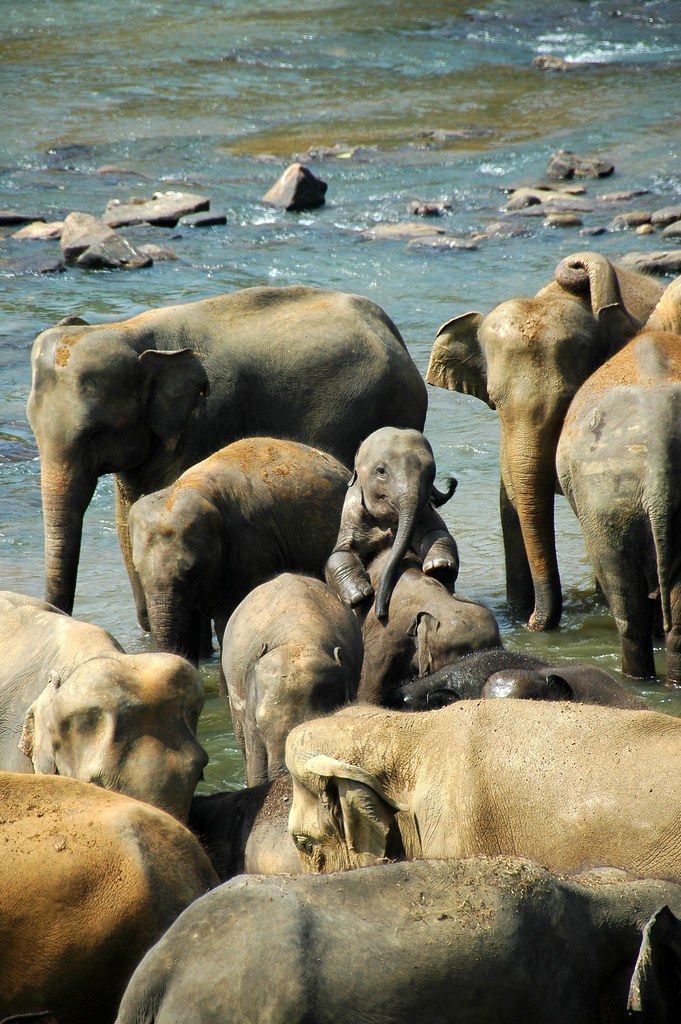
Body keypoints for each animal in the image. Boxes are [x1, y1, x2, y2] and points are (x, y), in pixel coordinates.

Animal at [26, 285, 427, 619]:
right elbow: (128, 516)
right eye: (31, 425)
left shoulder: (205, 418)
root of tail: (392, 332)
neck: (130, 330)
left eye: (96, 432)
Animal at [325, 426, 459, 622]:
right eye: (381, 470)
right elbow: (339, 554)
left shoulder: (426, 511)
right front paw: (360, 594)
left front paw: (439, 566)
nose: (381, 614)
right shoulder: (352, 515)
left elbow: (438, 532)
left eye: (432, 474)